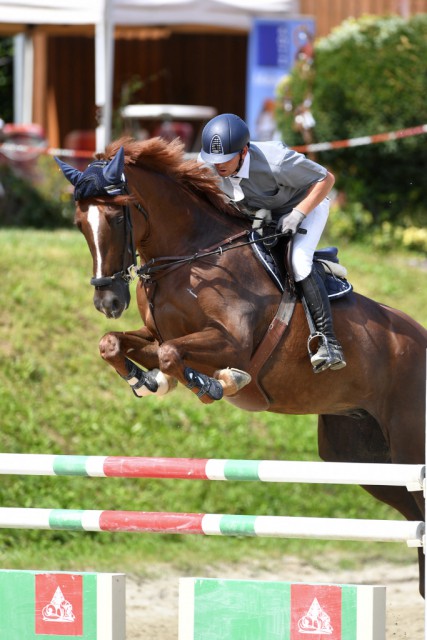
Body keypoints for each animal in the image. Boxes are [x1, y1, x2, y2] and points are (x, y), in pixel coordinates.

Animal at [56, 136, 427, 596]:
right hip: (361, 456)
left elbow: (175, 355)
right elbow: (118, 345)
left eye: (113, 215)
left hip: (409, 447)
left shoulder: (234, 344)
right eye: (79, 222)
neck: (190, 256)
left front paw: (216, 384)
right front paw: (147, 380)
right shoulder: (156, 333)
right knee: (413, 514)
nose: (107, 301)